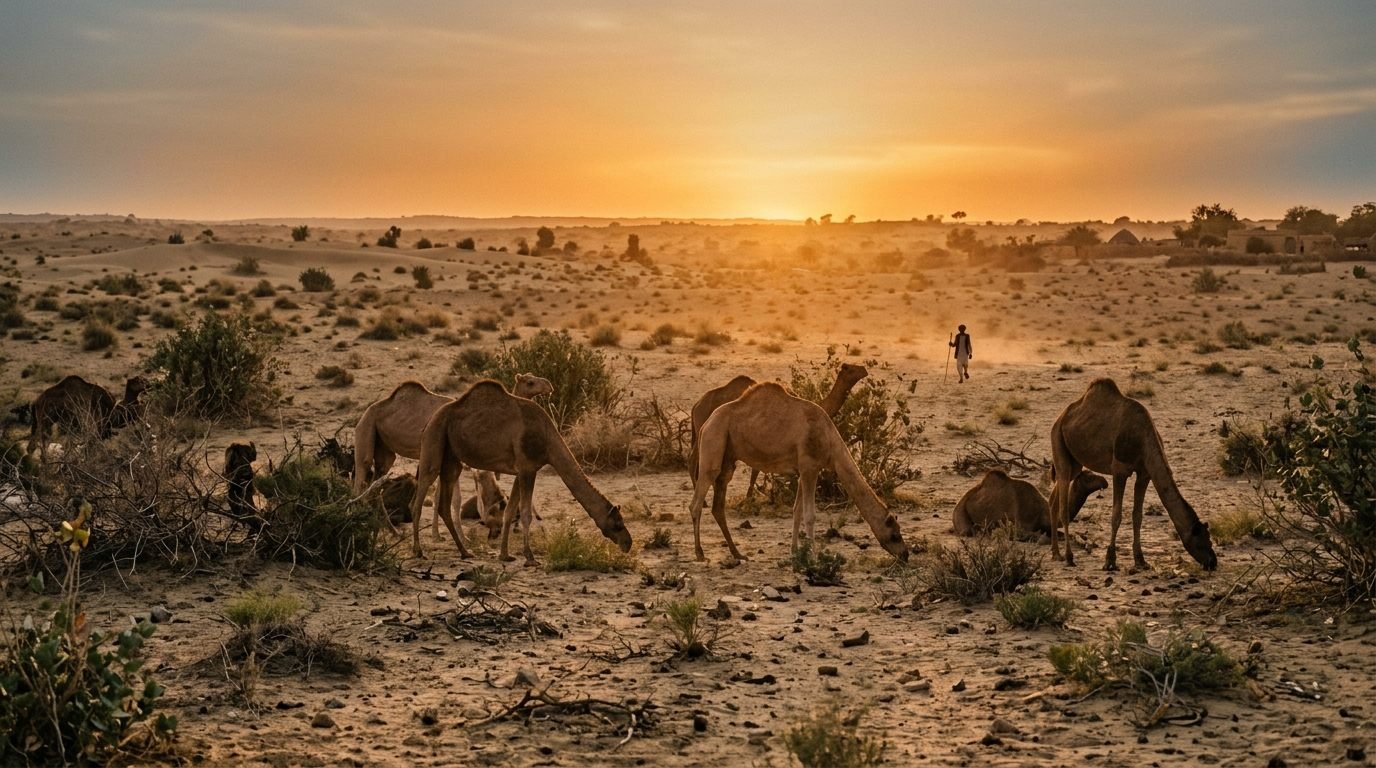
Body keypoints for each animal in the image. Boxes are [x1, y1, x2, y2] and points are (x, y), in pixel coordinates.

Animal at [409, 379, 631, 563]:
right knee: (419, 499)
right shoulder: (528, 469)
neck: (548, 441)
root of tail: (431, 420)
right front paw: (529, 557)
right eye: (618, 524)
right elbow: (525, 513)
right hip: (434, 439)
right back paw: (419, 551)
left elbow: (509, 511)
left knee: (444, 503)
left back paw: (465, 552)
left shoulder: (520, 471)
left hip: (451, 456)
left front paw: (505, 554)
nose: (628, 543)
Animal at [688, 363, 869, 499]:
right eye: (850, 369)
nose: (864, 369)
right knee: (693, 458)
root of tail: (696, 405)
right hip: (704, 427)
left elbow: (758, 469)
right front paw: (751, 497)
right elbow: (758, 470)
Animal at [689, 382, 909, 563]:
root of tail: (705, 423)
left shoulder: (804, 469)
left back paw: (737, 554)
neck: (831, 443)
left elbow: (796, 511)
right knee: (697, 502)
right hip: (714, 441)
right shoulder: (810, 466)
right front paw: (814, 556)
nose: (905, 555)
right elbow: (810, 514)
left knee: (718, 506)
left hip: (727, 457)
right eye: (895, 535)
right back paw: (700, 553)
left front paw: (794, 551)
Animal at [1050, 378, 1218, 571]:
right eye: (1201, 542)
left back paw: (1056, 553)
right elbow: (1116, 516)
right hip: (1058, 442)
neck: (1144, 439)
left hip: (1075, 462)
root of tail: (1060, 418)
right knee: (1062, 505)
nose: (1213, 562)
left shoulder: (1145, 473)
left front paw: (1140, 560)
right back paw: (1069, 557)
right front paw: (1110, 561)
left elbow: (1137, 516)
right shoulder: (1119, 470)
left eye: (1209, 539)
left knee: (1054, 499)